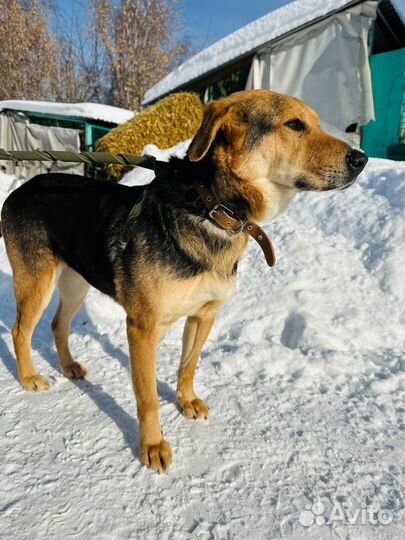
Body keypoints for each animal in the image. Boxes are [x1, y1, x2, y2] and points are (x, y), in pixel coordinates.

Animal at [0, 92, 366, 472]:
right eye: (294, 124)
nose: (362, 159)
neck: (212, 209)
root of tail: (23, 187)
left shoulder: (204, 314)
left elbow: (188, 365)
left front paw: (186, 401)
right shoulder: (142, 328)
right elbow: (146, 397)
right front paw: (152, 445)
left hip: (76, 282)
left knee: (58, 324)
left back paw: (69, 365)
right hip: (37, 283)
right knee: (21, 331)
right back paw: (29, 378)